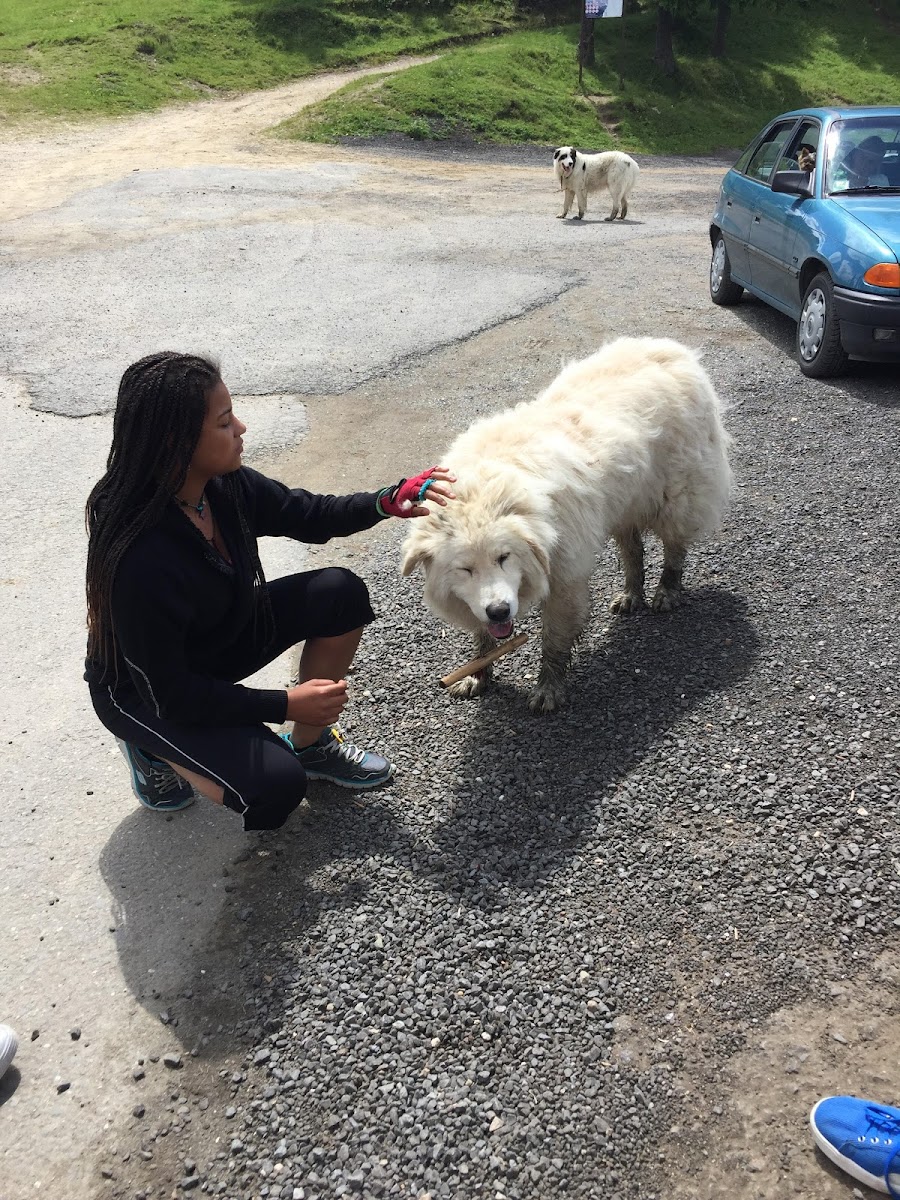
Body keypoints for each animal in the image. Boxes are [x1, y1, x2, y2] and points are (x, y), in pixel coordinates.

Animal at [400, 338, 734, 710]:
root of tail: (673, 349)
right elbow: (483, 634)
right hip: (622, 502)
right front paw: (478, 673)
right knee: (633, 550)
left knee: (675, 544)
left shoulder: (563, 574)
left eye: (504, 557)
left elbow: (554, 639)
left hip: (677, 494)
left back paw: (667, 590)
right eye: (464, 569)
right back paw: (632, 594)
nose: (500, 611)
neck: (486, 489)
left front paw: (549, 688)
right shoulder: (478, 598)